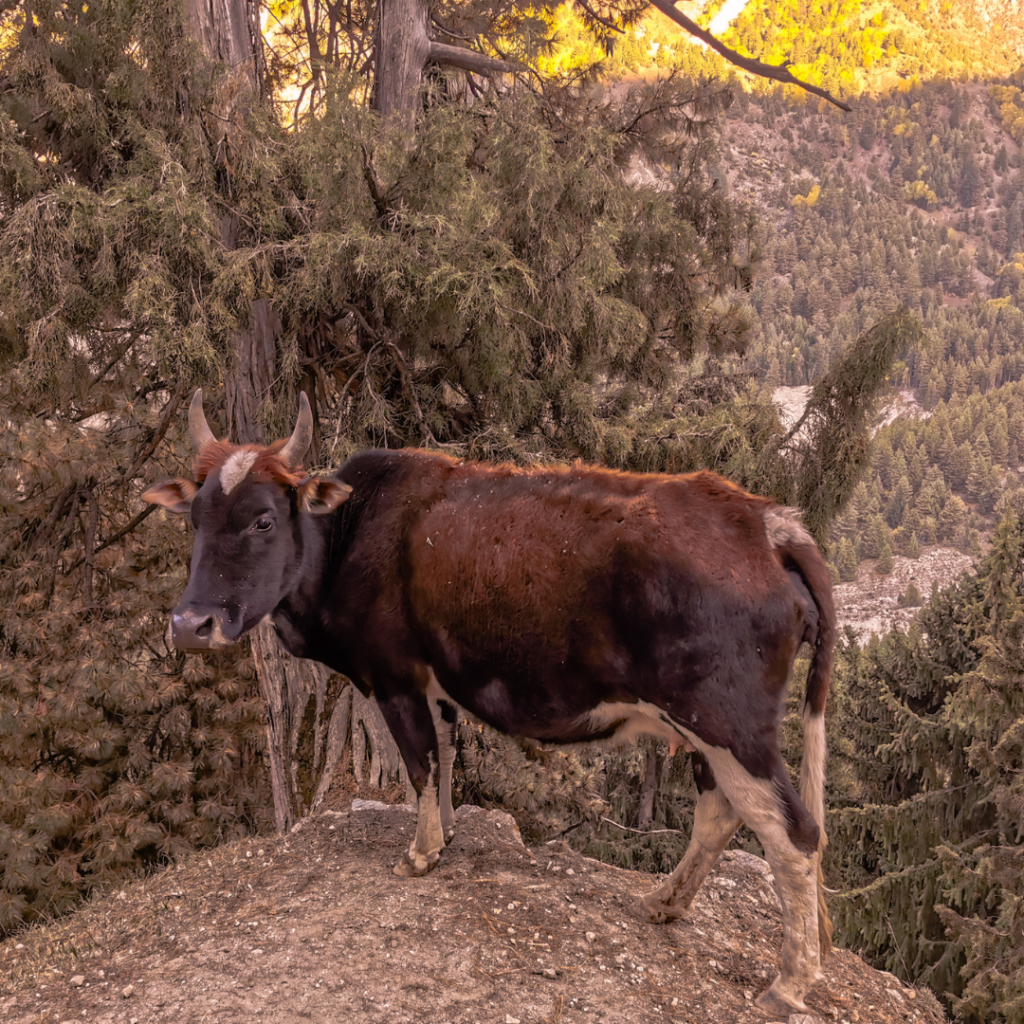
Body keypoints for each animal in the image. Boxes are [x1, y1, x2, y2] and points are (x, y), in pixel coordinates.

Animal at [143, 390, 835, 1017]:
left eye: (263, 519)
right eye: (194, 519)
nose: (190, 625)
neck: (349, 535)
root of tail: (766, 523)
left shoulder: (395, 678)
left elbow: (420, 761)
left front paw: (421, 853)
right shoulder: (438, 683)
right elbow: (447, 754)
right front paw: (447, 831)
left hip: (728, 723)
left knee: (794, 832)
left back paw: (789, 983)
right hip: (705, 730)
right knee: (721, 813)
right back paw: (665, 902)